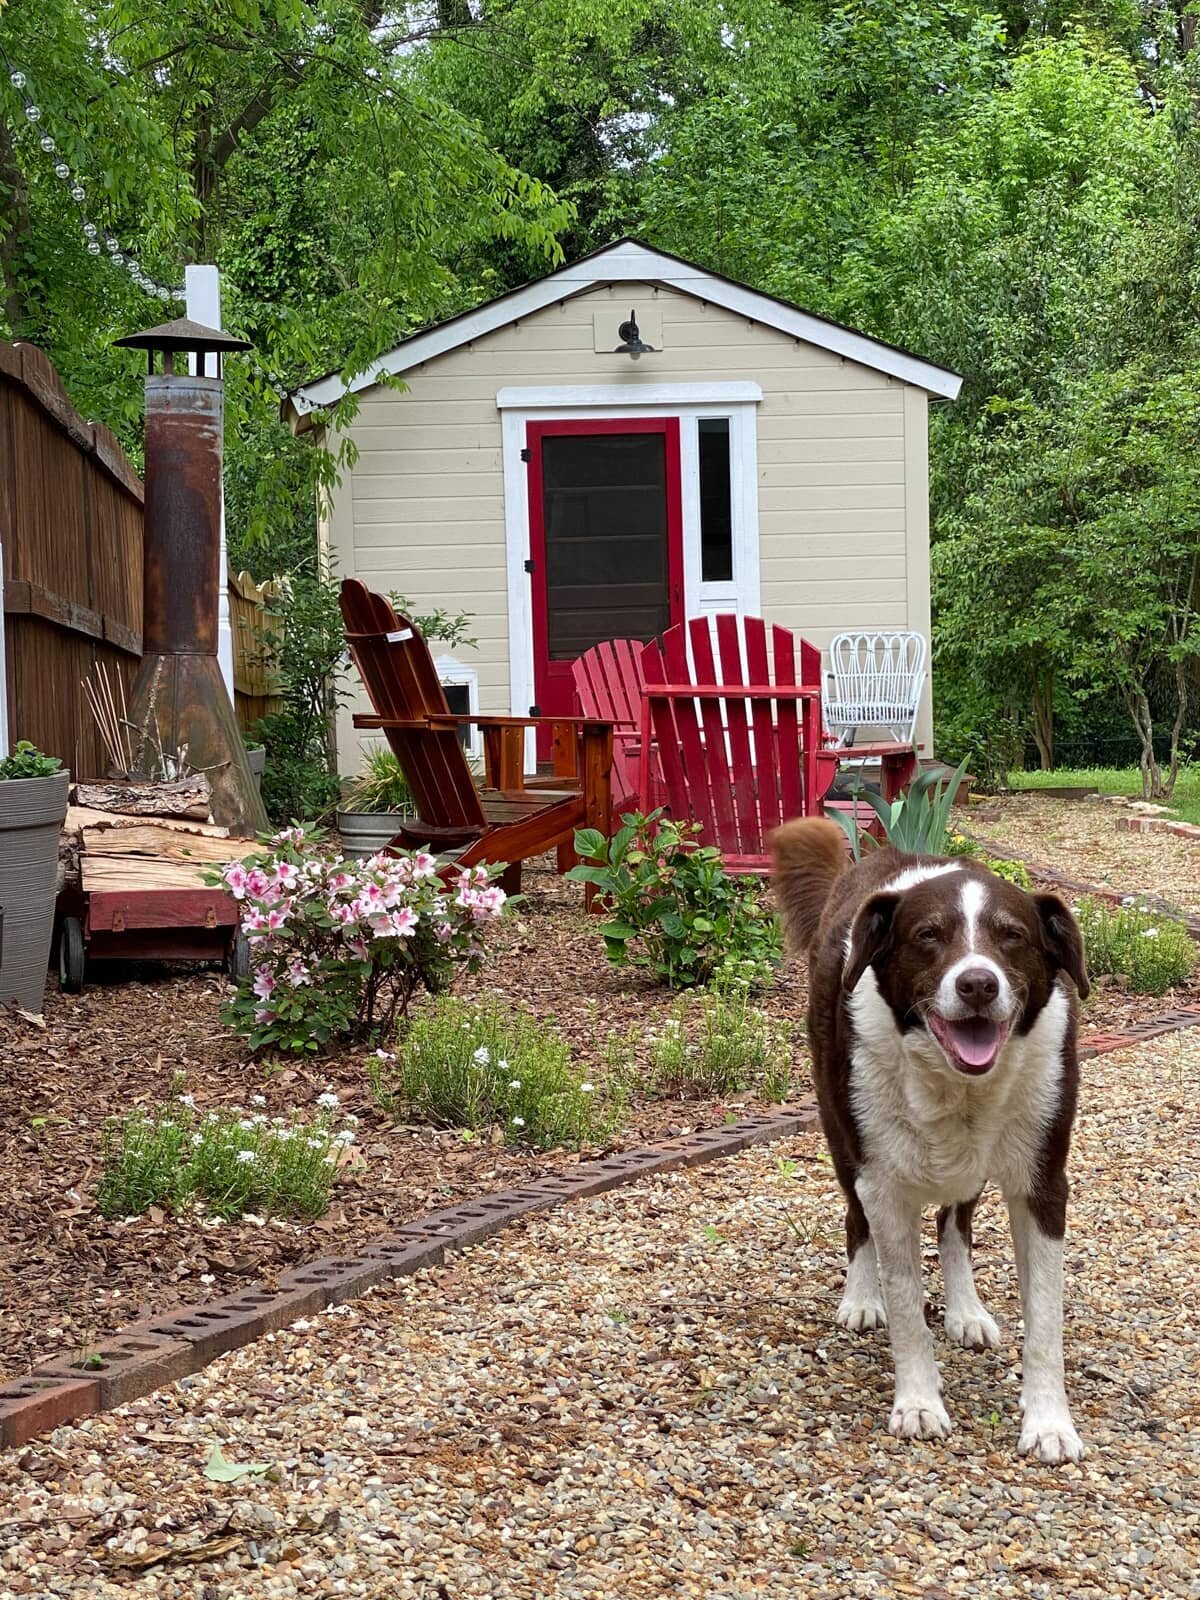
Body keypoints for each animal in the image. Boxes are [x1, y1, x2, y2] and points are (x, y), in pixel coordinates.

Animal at [774, 825, 1094, 1465]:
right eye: (928, 936)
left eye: (1012, 935)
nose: (977, 983)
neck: (960, 1085)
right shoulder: (883, 1184)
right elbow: (905, 1308)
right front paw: (918, 1404)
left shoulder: (1043, 1185)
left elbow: (1044, 1321)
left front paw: (1049, 1423)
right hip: (841, 1136)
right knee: (855, 1220)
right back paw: (860, 1297)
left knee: (956, 1223)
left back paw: (966, 1310)